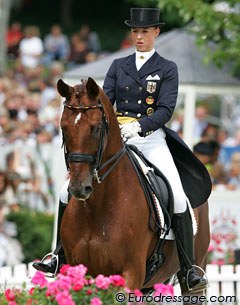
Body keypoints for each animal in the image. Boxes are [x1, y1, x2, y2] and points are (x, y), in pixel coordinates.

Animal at [57, 76, 209, 296]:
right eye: (64, 128)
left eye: (96, 128)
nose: (79, 188)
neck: (97, 209)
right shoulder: (80, 273)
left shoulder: (131, 274)